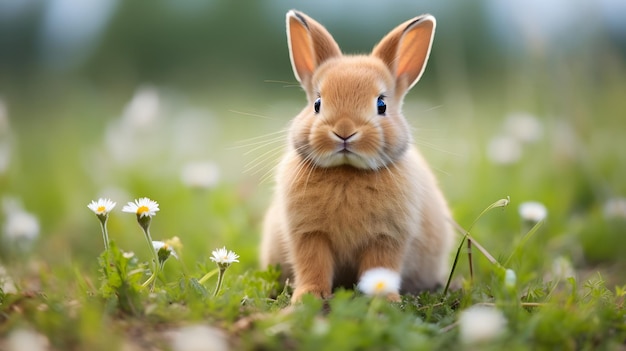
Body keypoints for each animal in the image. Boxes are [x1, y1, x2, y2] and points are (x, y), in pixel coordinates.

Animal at [260, 10, 454, 302]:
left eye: (381, 104)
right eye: (317, 104)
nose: (344, 131)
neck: (346, 171)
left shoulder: (387, 238)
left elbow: (381, 267)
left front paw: (385, 298)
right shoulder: (308, 235)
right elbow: (312, 266)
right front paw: (309, 296)